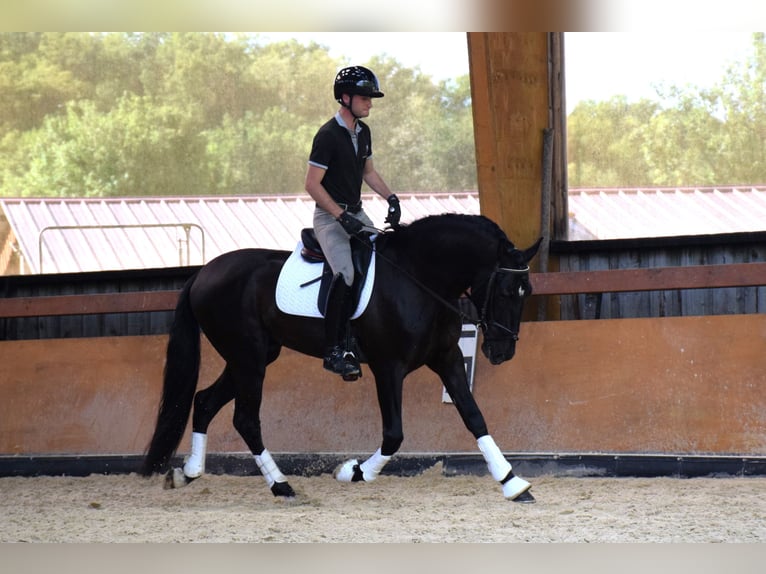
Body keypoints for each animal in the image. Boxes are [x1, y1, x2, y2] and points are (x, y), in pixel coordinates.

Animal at [141, 215, 544, 504]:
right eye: (505, 290)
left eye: (526, 292)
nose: (502, 351)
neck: (418, 276)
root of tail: (202, 273)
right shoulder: (388, 367)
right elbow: (394, 434)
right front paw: (353, 472)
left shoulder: (447, 358)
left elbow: (475, 417)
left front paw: (513, 484)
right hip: (248, 358)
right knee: (245, 419)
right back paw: (282, 486)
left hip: (251, 357)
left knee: (205, 401)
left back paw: (188, 472)